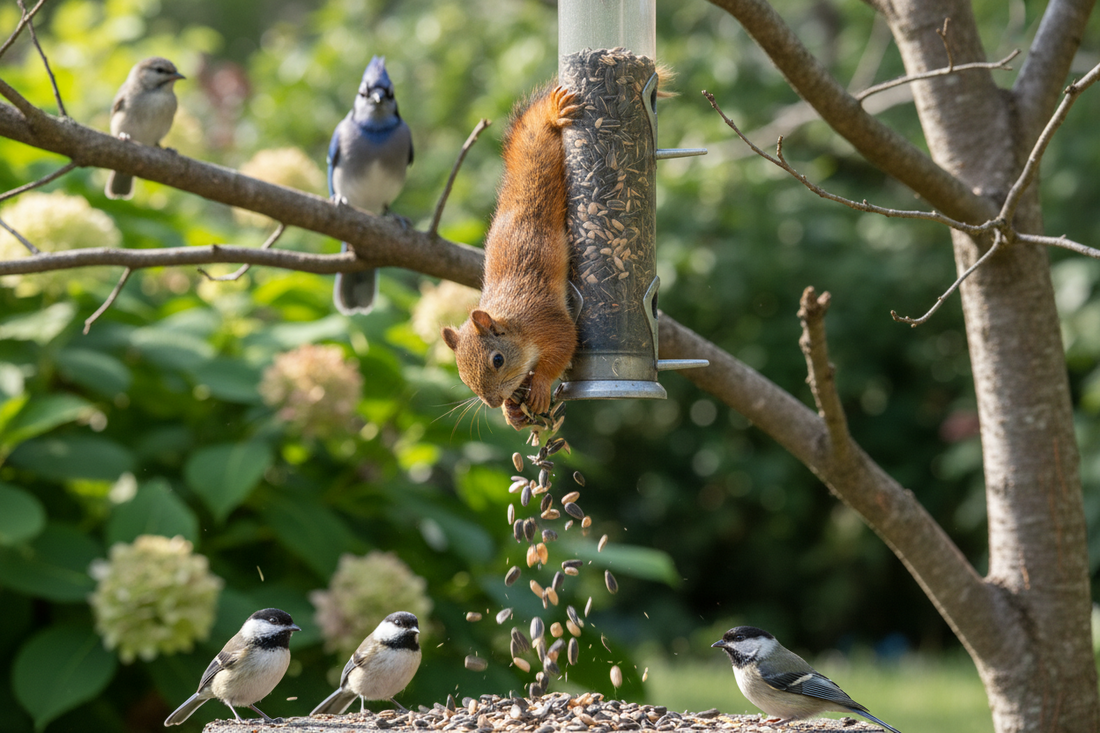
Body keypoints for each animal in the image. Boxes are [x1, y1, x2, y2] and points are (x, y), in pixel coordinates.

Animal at [441, 85, 580, 430]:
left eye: (498, 359)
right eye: (461, 374)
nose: (492, 402)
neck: (516, 324)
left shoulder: (547, 321)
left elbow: (564, 344)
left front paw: (540, 385)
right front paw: (511, 411)